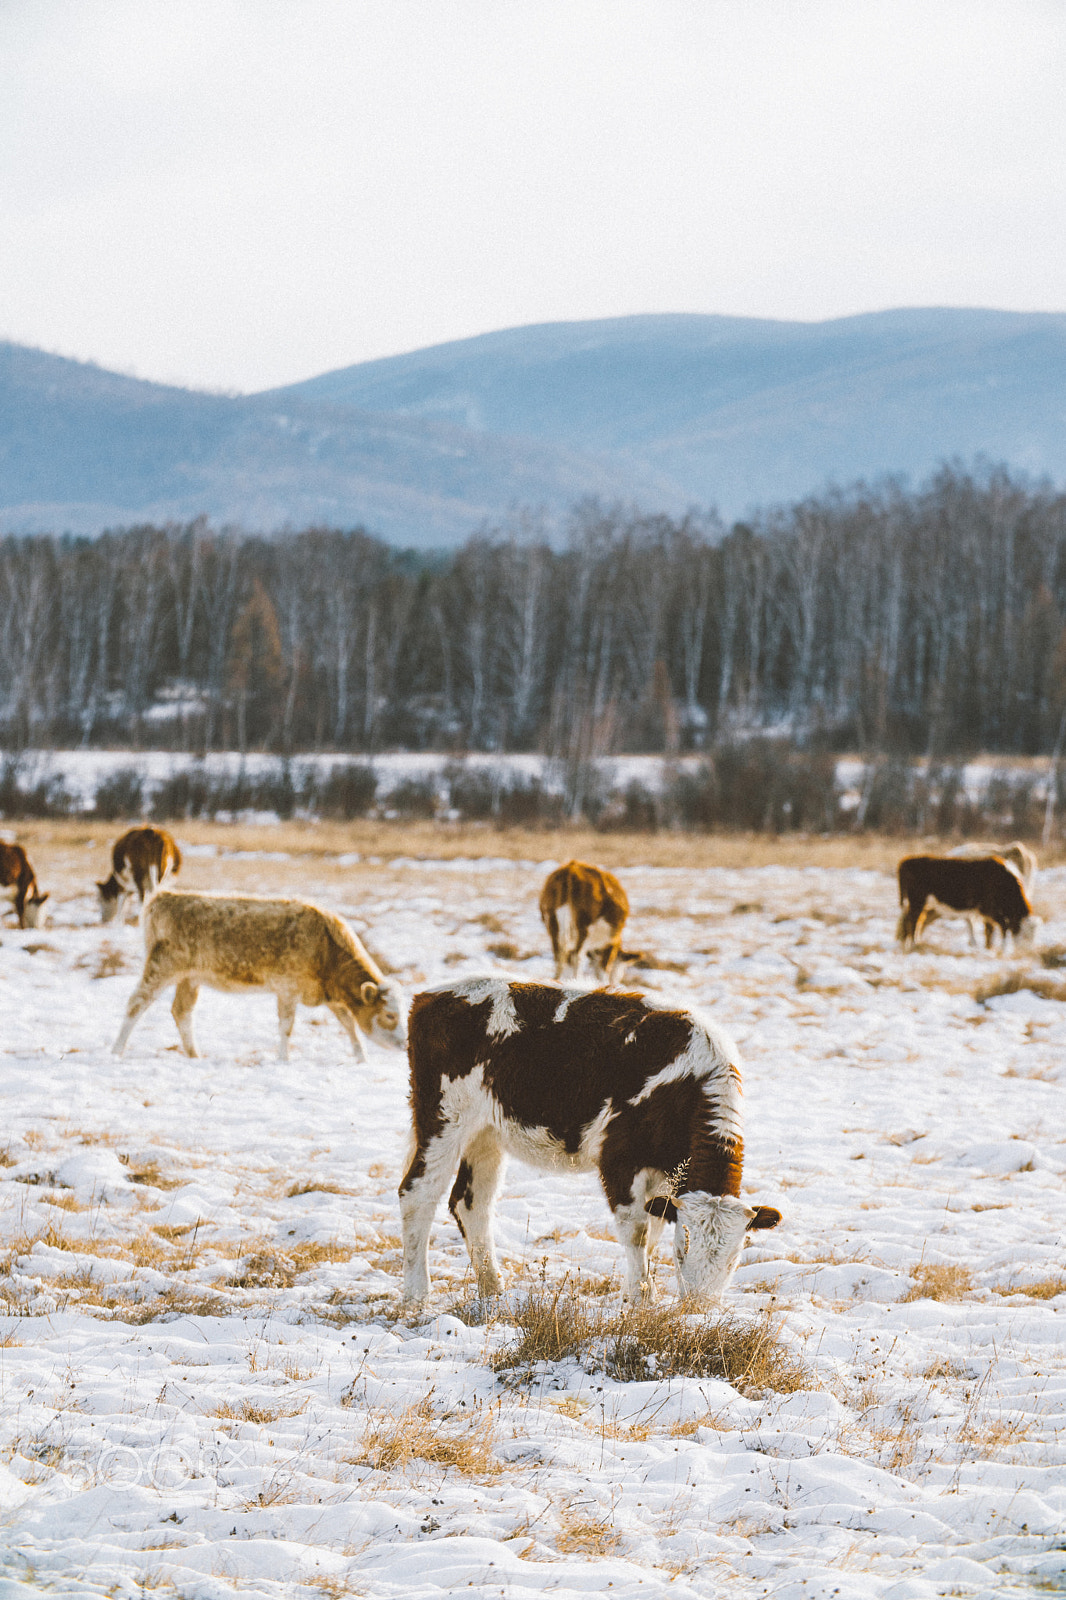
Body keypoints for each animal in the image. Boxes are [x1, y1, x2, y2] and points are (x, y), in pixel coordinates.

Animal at [112, 889, 406, 1062]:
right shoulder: (287, 989)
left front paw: (361, 1057)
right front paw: (283, 1059)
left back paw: (195, 1055)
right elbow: (286, 1026)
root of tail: (166, 896)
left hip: (190, 978)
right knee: (136, 1002)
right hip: (161, 966)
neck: (325, 945)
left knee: (181, 1011)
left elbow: (348, 1022)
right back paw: (116, 1051)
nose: (405, 1044)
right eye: (390, 1015)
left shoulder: (329, 995)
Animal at [393, 979, 777, 1305]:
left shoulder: (666, 1175)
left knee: (472, 1203)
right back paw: (417, 1295)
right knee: (418, 1194)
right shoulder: (620, 1161)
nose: (699, 1307)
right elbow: (637, 1231)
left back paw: (493, 1290)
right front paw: (641, 1299)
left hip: (485, 1133)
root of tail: (430, 997)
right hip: (443, 1119)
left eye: (735, 1257)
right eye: (683, 1249)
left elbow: (652, 1232)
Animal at [889, 857, 1030, 953]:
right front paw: (1003, 948)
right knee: (913, 921)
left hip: (919, 904)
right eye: (1026, 930)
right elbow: (1002, 926)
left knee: (912, 921)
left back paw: (910, 944)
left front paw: (984, 946)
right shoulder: (988, 909)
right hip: (917, 902)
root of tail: (906, 861)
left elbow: (984, 928)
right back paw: (914, 944)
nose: (1025, 950)